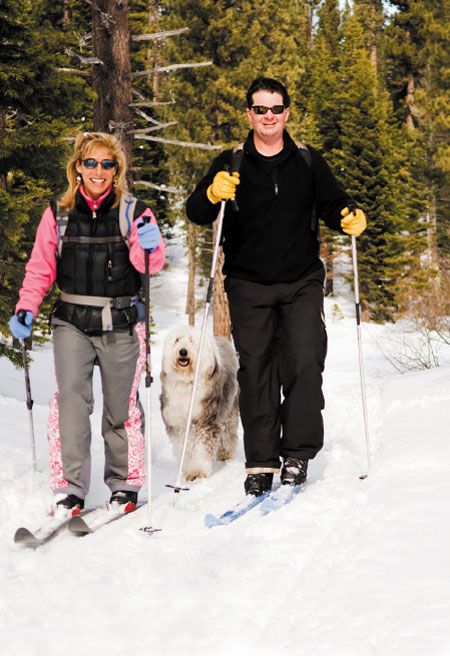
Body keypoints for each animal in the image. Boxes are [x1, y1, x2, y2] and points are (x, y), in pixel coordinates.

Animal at [160, 324, 239, 481]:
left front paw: (199, 471)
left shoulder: (206, 419)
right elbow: (184, 447)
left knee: (228, 432)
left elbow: (202, 448)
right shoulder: (177, 422)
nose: (183, 352)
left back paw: (225, 453)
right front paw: (188, 470)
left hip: (229, 409)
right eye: (177, 340)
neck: (188, 382)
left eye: (191, 340)